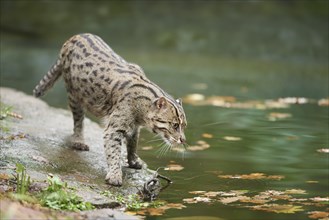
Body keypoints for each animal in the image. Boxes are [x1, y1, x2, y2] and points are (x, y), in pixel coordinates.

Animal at [34, 33, 187, 186]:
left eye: (184, 125)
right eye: (175, 125)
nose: (183, 140)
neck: (142, 111)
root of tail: (75, 37)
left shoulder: (134, 126)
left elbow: (133, 143)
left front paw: (133, 161)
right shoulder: (114, 128)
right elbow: (114, 152)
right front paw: (115, 175)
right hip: (74, 95)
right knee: (78, 120)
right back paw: (79, 140)